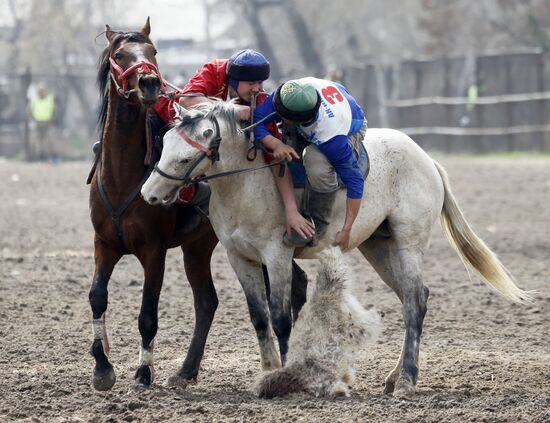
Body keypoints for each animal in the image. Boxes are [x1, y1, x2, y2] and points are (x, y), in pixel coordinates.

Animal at [90, 19, 220, 390]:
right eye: (121, 54)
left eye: (153, 51)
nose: (149, 83)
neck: (123, 176)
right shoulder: (103, 244)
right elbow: (97, 297)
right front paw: (102, 367)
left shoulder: (154, 251)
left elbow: (147, 314)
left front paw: (144, 373)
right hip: (197, 247)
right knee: (206, 302)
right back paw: (187, 370)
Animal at [140, 102, 532, 398]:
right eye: (165, 144)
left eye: (184, 157)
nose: (149, 195)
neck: (248, 181)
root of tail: (425, 158)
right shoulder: (241, 259)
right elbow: (259, 318)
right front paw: (267, 371)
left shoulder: (276, 256)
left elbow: (281, 318)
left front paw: (285, 377)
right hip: (379, 248)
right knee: (413, 298)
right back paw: (396, 376)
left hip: (408, 244)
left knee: (414, 302)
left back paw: (407, 380)